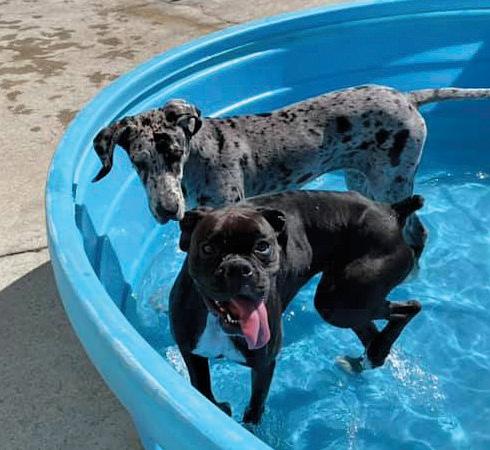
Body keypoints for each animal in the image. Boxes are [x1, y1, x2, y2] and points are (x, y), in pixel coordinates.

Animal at [92, 84, 490, 257]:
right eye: (139, 162)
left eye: (175, 154)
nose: (166, 210)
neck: (201, 157)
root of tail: (407, 97)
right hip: (362, 180)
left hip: (391, 183)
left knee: (417, 232)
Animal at [169, 190, 424, 424]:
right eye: (208, 249)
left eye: (263, 247)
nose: (238, 268)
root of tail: (390, 210)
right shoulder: (190, 352)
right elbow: (201, 390)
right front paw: (220, 407)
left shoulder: (264, 365)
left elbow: (255, 407)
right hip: (345, 302)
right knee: (373, 328)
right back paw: (364, 360)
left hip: (340, 301)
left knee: (409, 308)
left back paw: (373, 353)